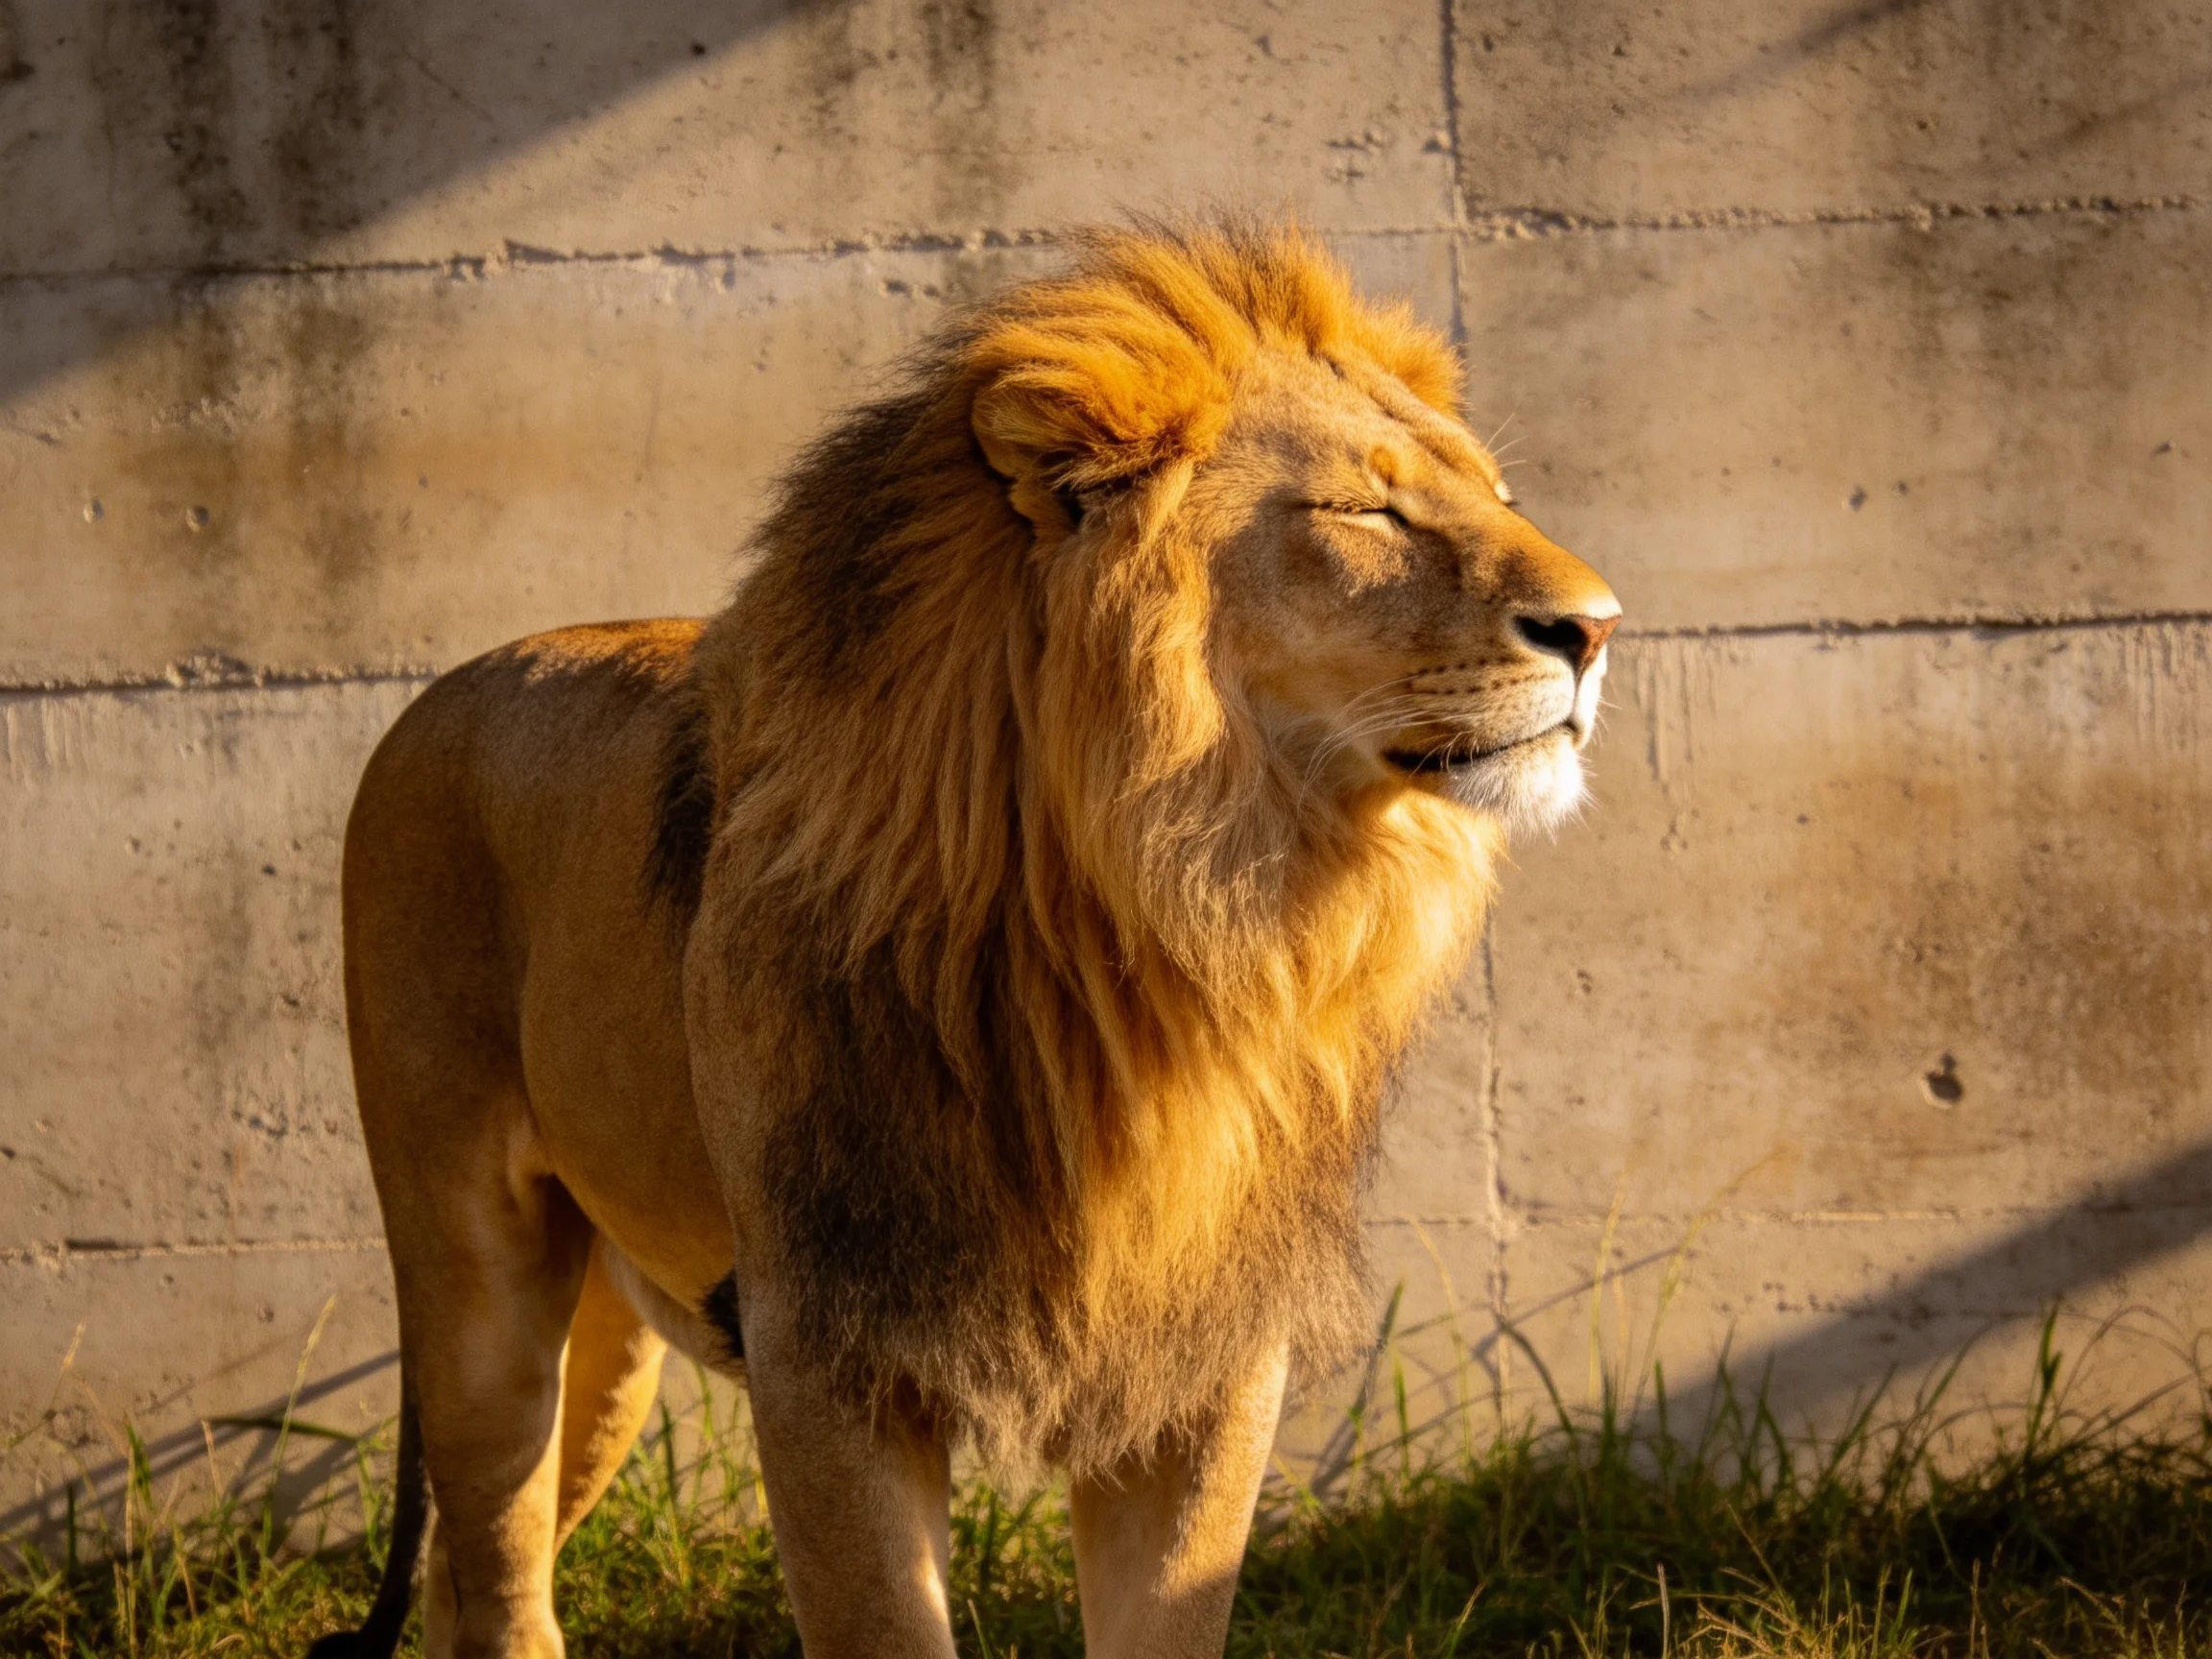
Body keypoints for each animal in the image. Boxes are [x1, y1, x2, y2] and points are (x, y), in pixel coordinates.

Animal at [311, 220, 1618, 1659]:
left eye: (1494, 492)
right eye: (1366, 512)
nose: (1600, 627)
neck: (1175, 927)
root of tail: (440, 687)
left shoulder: (1206, 1358)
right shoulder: (828, 1350)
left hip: (616, 1344)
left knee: (474, 1566)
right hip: (474, 1277)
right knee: (492, 1558)